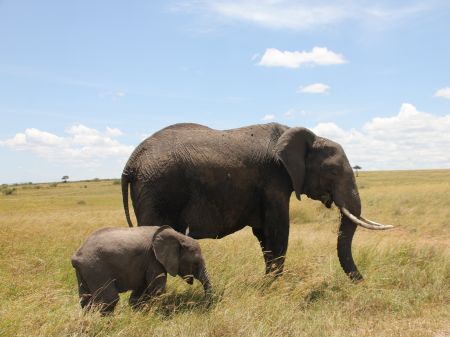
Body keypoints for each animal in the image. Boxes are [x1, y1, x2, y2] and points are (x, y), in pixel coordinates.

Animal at [71, 224, 212, 314]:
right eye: (195, 263)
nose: (206, 307)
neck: (177, 236)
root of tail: (76, 256)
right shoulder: (153, 260)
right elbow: (157, 289)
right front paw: (161, 313)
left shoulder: (145, 263)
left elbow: (140, 292)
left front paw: (139, 313)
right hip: (96, 268)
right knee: (109, 299)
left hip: (85, 271)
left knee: (85, 299)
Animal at [121, 122, 392, 280]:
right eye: (333, 172)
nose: (363, 281)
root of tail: (131, 162)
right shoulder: (274, 179)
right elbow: (278, 231)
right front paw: (275, 288)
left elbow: (264, 235)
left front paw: (268, 285)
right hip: (157, 188)